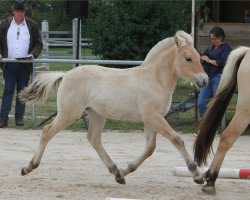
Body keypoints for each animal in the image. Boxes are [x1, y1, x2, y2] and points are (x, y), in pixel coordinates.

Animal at [19, 30, 208, 185]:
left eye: (199, 58)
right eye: (188, 58)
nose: (204, 80)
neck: (155, 79)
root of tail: (65, 75)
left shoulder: (153, 119)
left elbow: (149, 149)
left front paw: (125, 171)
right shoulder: (153, 117)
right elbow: (177, 139)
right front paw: (197, 174)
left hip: (96, 114)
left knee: (94, 139)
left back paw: (116, 172)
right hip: (69, 113)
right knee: (47, 131)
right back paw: (28, 167)